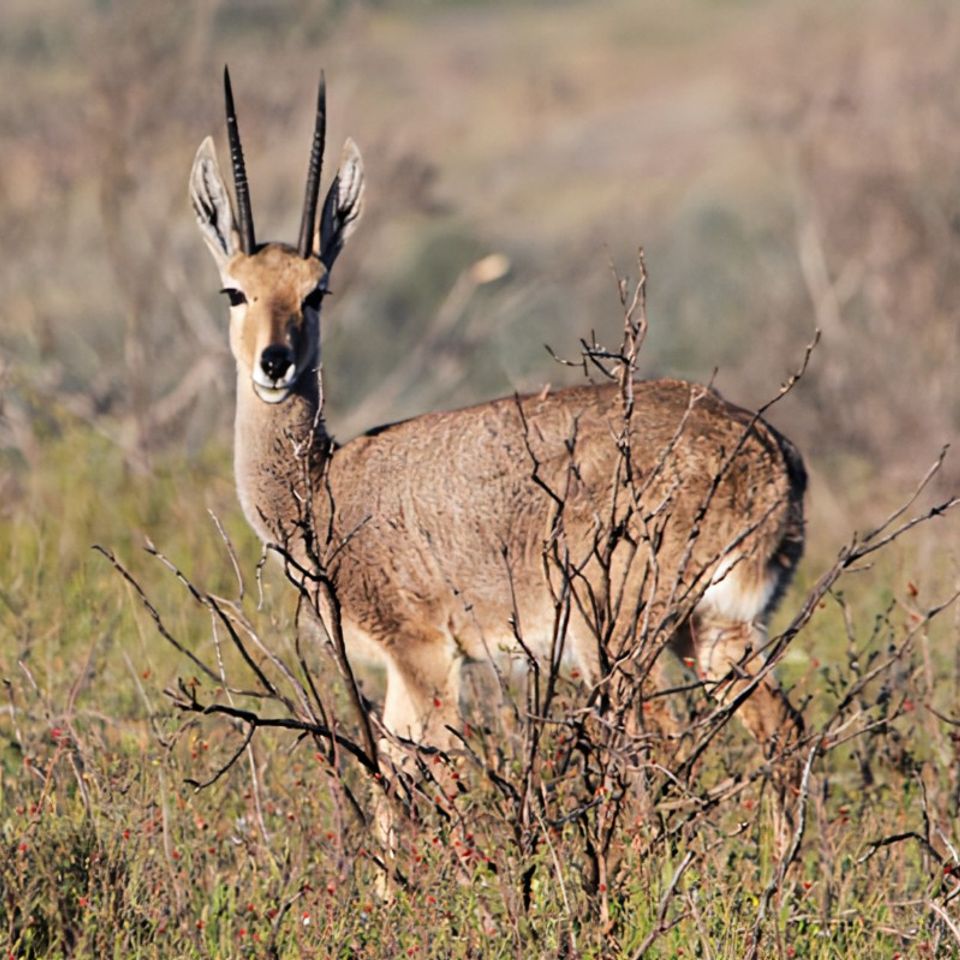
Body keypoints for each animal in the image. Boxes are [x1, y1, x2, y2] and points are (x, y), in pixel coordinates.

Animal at [191, 69, 808, 808]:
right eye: (234, 291)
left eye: (317, 292)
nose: (275, 363)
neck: (325, 481)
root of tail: (771, 454)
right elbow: (392, 785)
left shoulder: (425, 653)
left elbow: (433, 777)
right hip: (716, 632)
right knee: (784, 733)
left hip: (620, 640)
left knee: (653, 749)